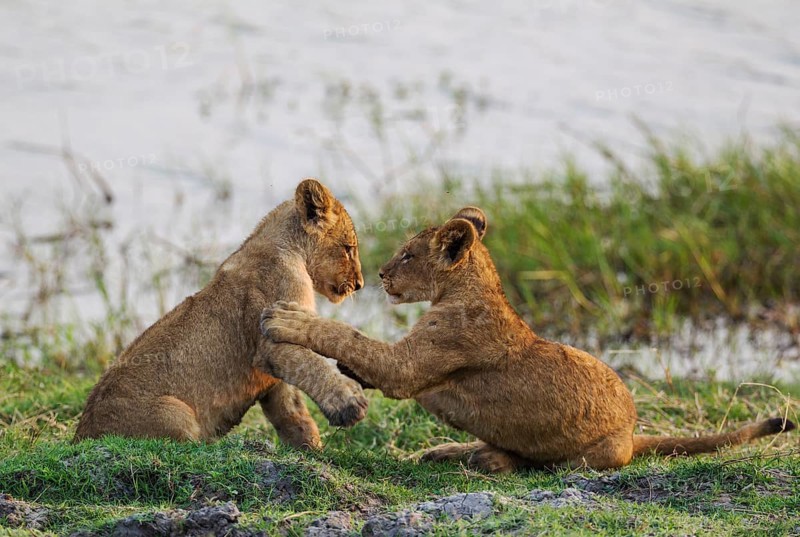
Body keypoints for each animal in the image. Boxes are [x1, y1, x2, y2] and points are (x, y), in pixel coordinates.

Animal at [75, 179, 368, 449]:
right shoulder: (270, 339)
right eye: (348, 248)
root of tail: (80, 436)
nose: (359, 284)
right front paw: (349, 402)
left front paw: (310, 448)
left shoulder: (272, 369)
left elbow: (291, 408)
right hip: (176, 413)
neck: (289, 248)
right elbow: (313, 366)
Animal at [261, 206, 795, 471]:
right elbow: (357, 349)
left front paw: (286, 319)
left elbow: (349, 335)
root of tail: (632, 435)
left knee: (536, 464)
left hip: (589, 457)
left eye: (409, 255)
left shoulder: (410, 367)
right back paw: (449, 451)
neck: (467, 288)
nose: (379, 274)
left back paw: (484, 458)